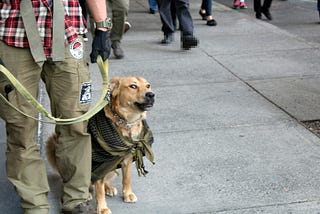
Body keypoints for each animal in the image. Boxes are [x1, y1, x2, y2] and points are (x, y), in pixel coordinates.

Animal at [45, 77, 154, 214]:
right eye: (133, 86)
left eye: (148, 85)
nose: (151, 94)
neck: (126, 122)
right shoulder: (99, 164)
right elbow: (99, 190)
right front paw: (102, 208)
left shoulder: (127, 159)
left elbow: (126, 179)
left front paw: (127, 194)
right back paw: (86, 195)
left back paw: (108, 188)